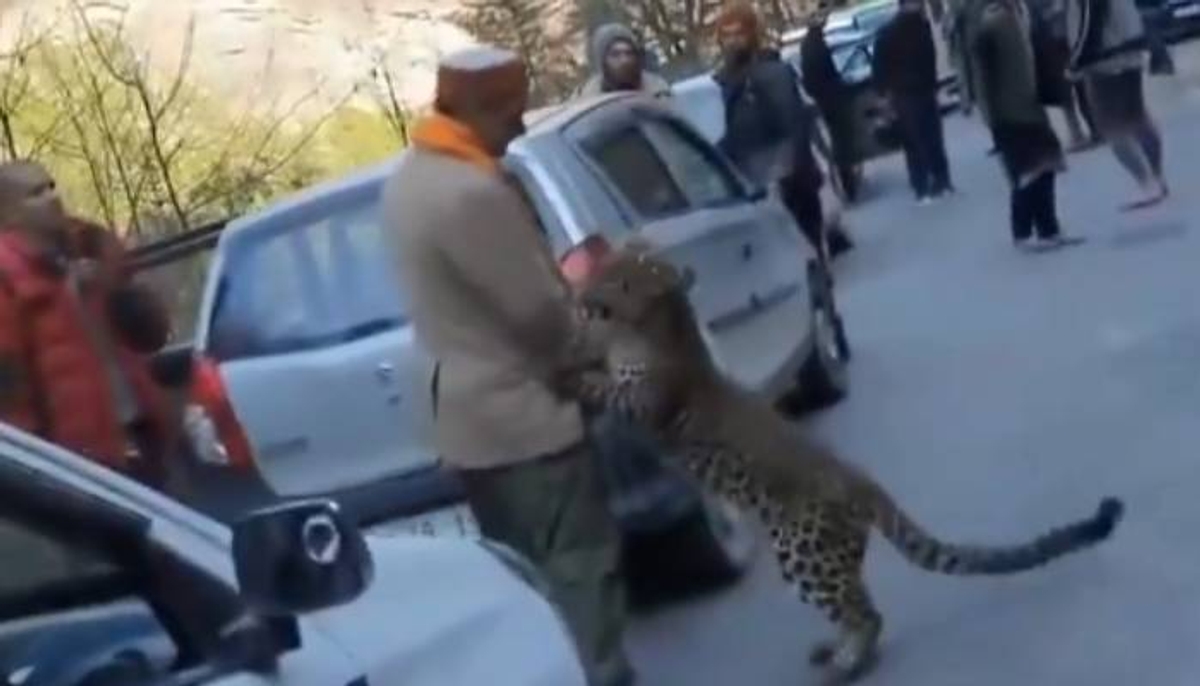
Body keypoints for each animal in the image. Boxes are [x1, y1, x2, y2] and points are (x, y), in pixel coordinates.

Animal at [561, 243, 1123, 681]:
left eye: (618, 280)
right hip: (829, 553)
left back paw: (847, 666)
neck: (653, 328)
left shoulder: (646, 402)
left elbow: (608, 388)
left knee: (865, 612)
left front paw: (570, 371)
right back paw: (835, 651)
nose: (584, 296)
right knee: (857, 604)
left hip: (803, 548)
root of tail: (863, 482)